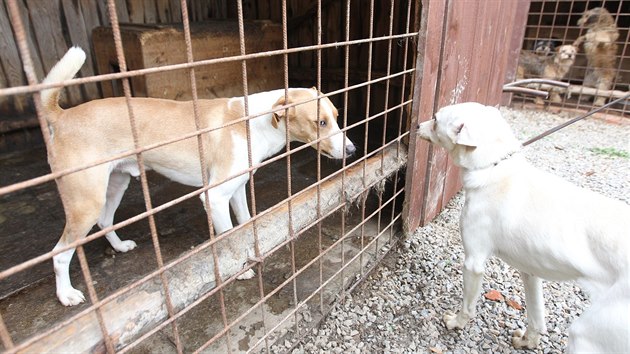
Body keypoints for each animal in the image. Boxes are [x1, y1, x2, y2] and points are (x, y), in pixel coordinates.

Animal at [40, 47, 356, 306]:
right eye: (320, 123)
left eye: (337, 117)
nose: (352, 150)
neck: (252, 123)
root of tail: (63, 115)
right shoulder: (214, 197)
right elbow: (228, 239)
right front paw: (240, 271)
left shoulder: (237, 190)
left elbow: (243, 225)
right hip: (85, 204)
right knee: (59, 253)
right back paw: (66, 294)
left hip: (116, 184)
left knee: (105, 221)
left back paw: (119, 247)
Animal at [418, 101, 628, 352]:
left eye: (435, 119)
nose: (416, 125)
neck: (493, 167)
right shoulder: (530, 271)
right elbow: (536, 316)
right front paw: (528, 341)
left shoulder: (473, 263)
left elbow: (467, 306)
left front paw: (456, 323)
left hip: (586, 334)